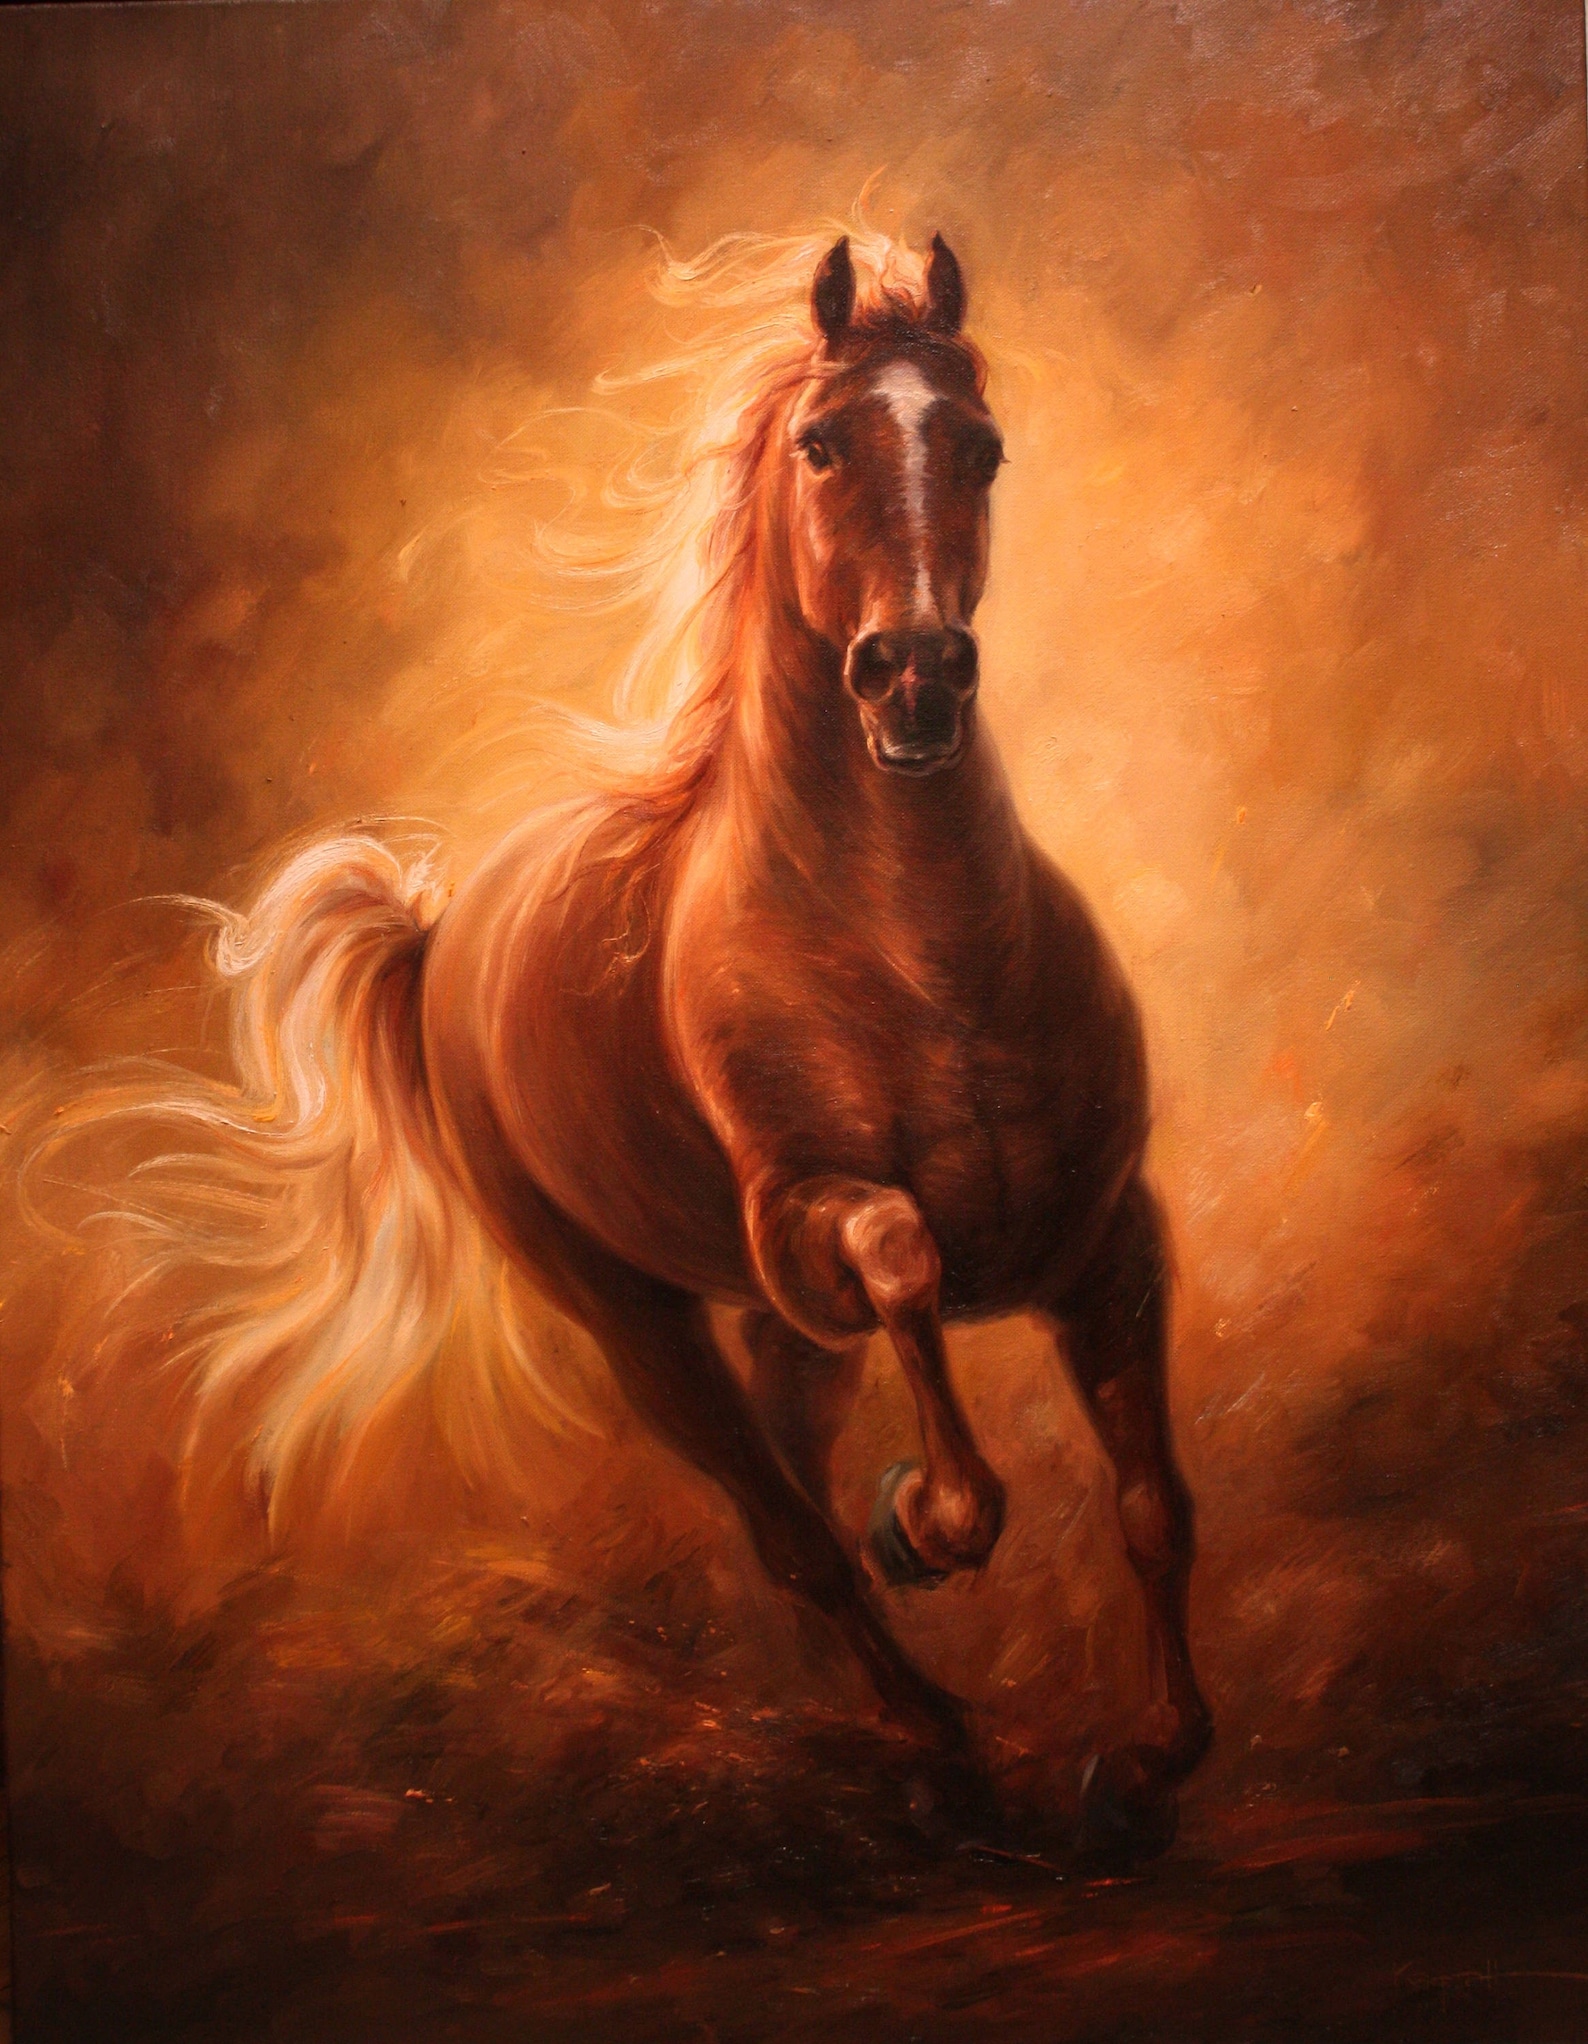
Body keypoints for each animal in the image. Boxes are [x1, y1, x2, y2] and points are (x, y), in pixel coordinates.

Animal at [43, 229, 1210, 1857]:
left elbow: (1155, 1506)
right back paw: (933, 1735)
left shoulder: (1111, 1240)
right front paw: (930, 1522)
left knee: (795, 1481)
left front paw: (1153, 1760)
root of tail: (439, 938)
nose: (914, 675)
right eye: (822, 442)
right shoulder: (804, 1233)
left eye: (981, 448)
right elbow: (905, 1258)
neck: (921, 957)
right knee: (785, 1530)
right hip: (632, 1318)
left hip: (773, 1332)